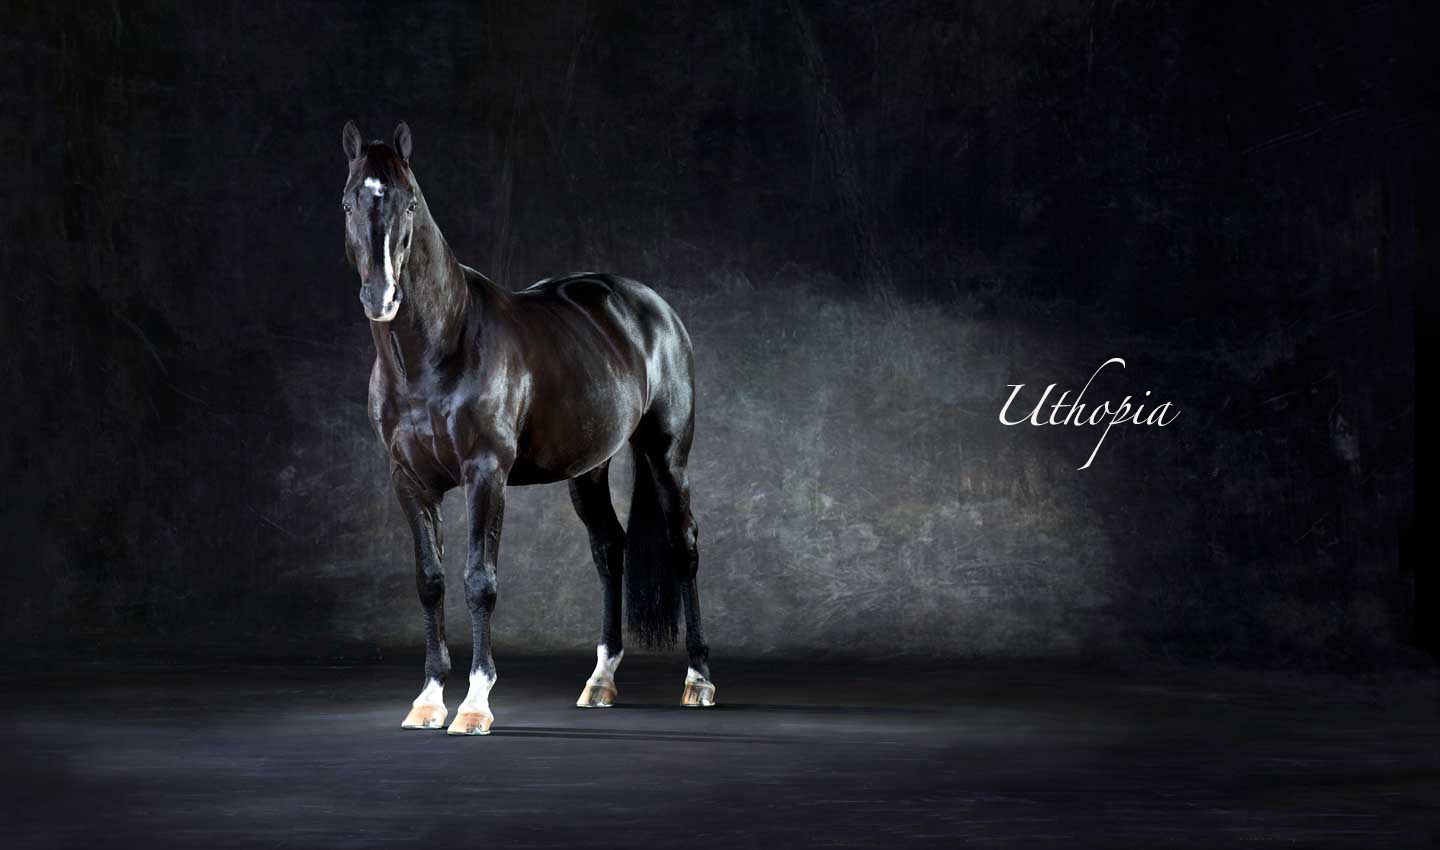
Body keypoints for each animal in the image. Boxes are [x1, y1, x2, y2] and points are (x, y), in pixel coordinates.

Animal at [339, 121, 715, 735]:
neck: (436, 351)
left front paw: (474, 704)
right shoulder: (409, 482)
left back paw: (699, 680)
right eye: (349, 201)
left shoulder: (486, 474)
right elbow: (430, 581)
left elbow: (479, 581)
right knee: (609, 547)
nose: (381, 295)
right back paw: (600, 680)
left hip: (666, 455)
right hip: (589, 468)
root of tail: (653, 308)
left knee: (683, 545)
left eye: (410, 202)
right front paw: (428, 699)